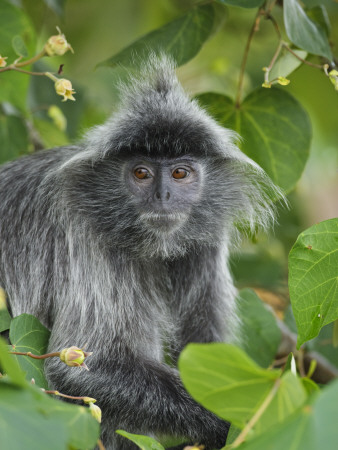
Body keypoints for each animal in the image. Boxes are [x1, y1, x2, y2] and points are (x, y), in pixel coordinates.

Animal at [0, 56, 282, 450]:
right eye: (141, 173)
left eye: (179, 173)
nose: (162, 196)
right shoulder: (87, 233)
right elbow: (83, 364)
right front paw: (237, 418)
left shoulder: (205, 242)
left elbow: (204, 353)